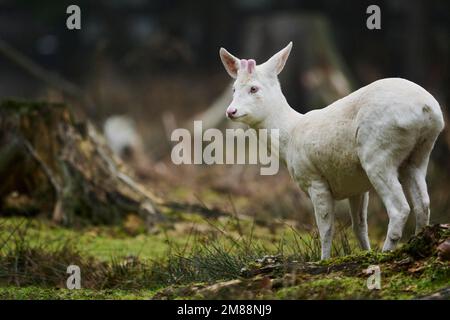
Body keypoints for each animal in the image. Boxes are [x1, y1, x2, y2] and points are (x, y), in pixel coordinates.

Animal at [220, 42, 444, 260]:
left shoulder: (314, 178)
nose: (231, 111)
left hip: (378, 152)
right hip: (418, 155)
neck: (290, 136)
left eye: (254, 88)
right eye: (234, 89)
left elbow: (326, 228)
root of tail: (427, 107)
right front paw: (364, 252)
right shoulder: (356, 185)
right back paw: (416, 243)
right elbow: (359, 227)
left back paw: (385, 253)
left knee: (400, 208)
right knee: (423, 204)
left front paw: (324, 260)